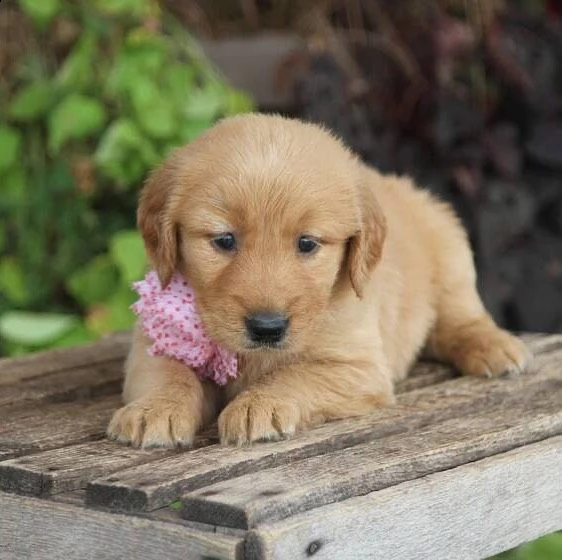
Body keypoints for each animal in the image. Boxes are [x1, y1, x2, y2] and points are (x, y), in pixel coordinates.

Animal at [106, 112, 528, 446]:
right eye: (224, 240)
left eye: (307, 243)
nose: (267, 328)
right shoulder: (151, 344)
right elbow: (167, 372)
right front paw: (154, 409)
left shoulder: (358, 367)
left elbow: (297, 374)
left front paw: (258, 404)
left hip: (450, 246)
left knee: (458, 317)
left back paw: (492, 346)